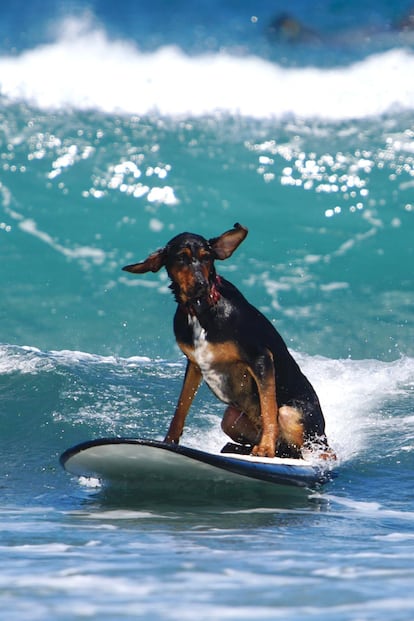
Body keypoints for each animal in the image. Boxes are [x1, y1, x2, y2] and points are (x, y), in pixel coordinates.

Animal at [122, 220, 334, 458]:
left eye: (207, 257)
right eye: (181, 258)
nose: (201, 284)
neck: (201, 310)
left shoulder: (261, 358)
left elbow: (269, 410)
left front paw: (265, 448)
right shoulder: (194, 364)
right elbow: (181, 408)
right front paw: (169, 441)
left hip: (293, 416)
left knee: (315, 450)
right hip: (230, 419)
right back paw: (235, 448)